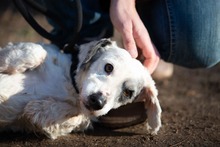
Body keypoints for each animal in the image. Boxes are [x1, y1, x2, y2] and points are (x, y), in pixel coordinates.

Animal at [0, 38, 162, 139]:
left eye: (128, 92)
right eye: (108, 67)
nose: (97, 101)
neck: (69, 86)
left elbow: (77, 115)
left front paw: (37, 108)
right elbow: (38, 51)